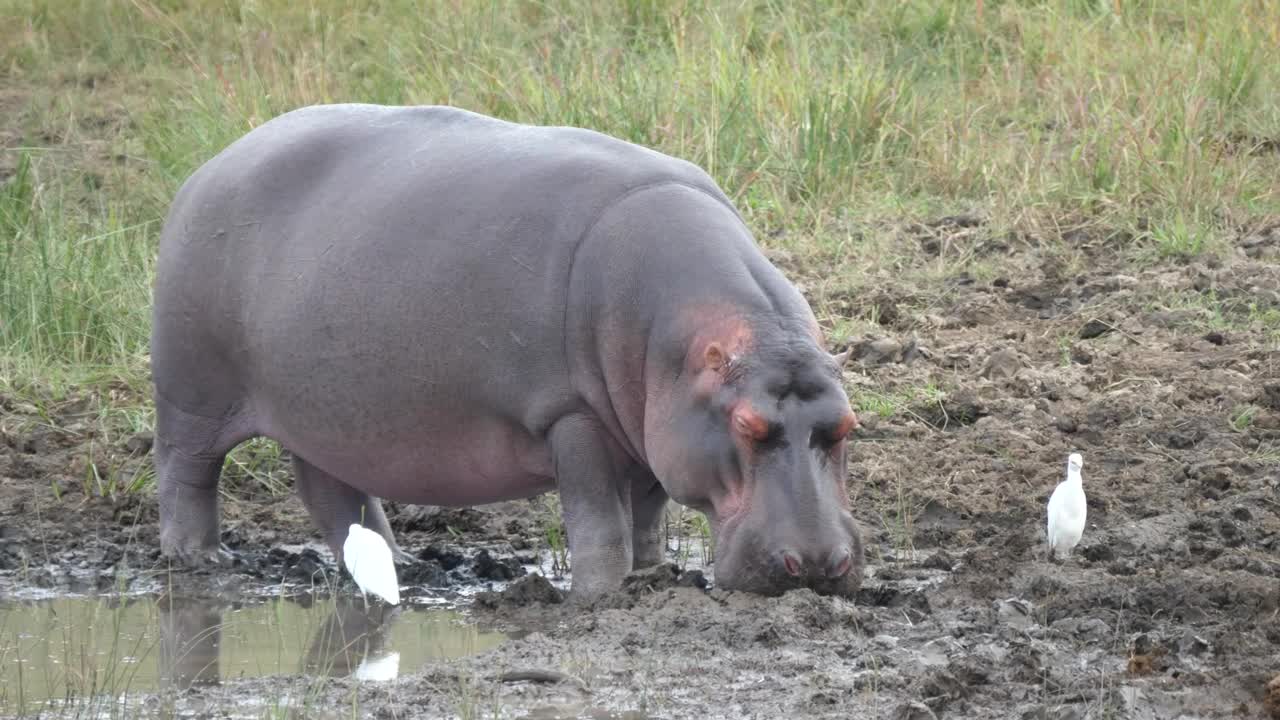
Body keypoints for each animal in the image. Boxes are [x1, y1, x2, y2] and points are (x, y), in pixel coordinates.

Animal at [151, 103, 863, 601]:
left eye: (849, 426)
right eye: (748, 425)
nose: (818, 564)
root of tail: (208, 167)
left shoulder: (652, 425)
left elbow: (648, 513)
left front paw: (655, 575)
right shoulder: (570, 413)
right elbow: (598, 518)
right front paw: (602, 595)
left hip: (321, 412)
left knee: (332, 491)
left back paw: (404, 563)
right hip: (194, 391)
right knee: (188, 471)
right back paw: (201, 559)